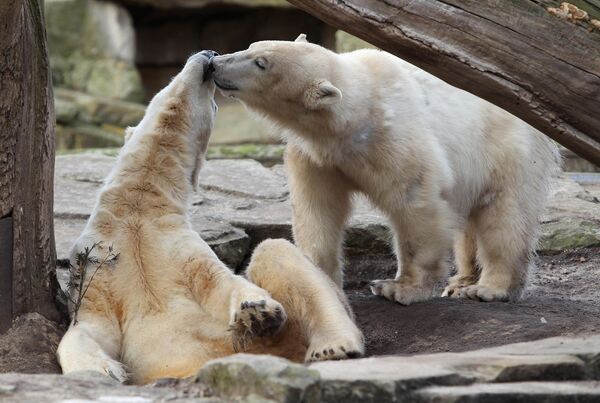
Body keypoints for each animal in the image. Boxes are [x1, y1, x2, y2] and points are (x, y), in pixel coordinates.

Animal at [56, 49, 364, 386]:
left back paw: (333, 344)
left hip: (288, 334)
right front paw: (102, 370)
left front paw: (257, 311)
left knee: (276, 252)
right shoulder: (99, 263)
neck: (137, 208)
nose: (209, 53)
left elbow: (221, 284)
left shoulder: (183, 251)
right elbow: (89, 325)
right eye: (170, 81)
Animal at [209, 35, 560, 306]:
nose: (215, 62)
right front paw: (316, 278)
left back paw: (489, 288)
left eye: (261, 62)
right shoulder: (318, 157)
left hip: (505, 148)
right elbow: (317, 211)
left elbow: (416, 205)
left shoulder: (393, 141)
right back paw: (462, 281)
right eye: (252, 46)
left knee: (504, 215)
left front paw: (400, 288)